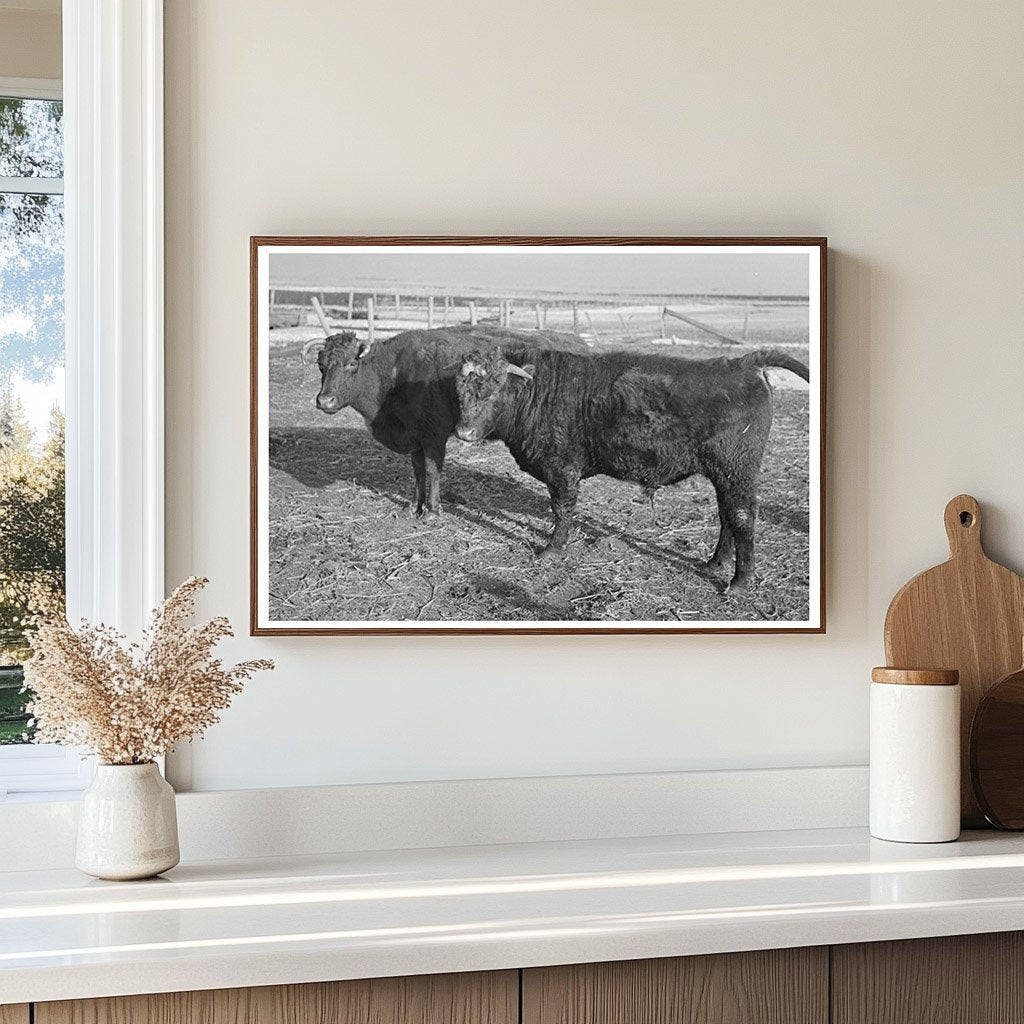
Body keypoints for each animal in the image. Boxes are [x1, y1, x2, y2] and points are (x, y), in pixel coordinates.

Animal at [302, 325, 587, 519]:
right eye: (320, 364)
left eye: (352, 363)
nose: (325, 400)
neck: (395, 376)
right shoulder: (415, 439)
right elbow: (418, 472)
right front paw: (413, 506)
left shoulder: (434, 437)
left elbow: (432, 471)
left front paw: (431, 510)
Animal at [454, 346, 811, 590]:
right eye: (460, 392)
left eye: (493, 390)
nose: (464, 432)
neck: (541, 391)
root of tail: (743, 363)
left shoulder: (562, 470)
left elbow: (562, 510)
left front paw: (552, 550)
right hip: (723, 475)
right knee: (727, 516)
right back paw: (714, 564)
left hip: (737, 471)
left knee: (742, 517)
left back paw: (740, 582)